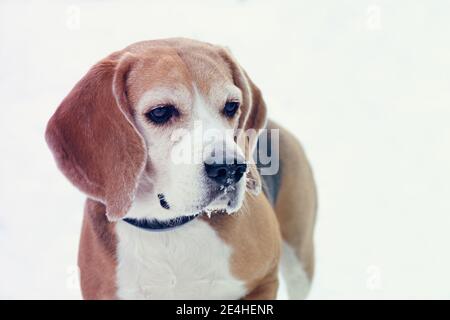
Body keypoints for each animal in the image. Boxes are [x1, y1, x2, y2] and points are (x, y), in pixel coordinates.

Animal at [44, 38, 314, 300]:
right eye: (160, 112)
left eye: (231, 106)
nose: (230, 168)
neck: (168, 227)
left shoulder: (264, 280)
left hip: (300, 260)